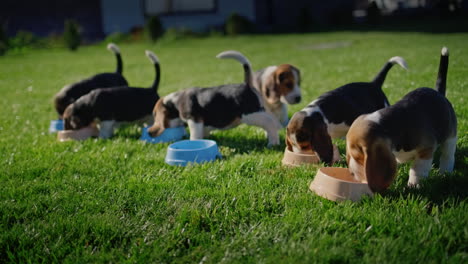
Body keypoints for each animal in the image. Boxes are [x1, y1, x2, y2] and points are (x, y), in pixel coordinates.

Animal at [148, 49, 284, 146]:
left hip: (251, 115)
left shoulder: (194, 120)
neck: (174, 103)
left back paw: (273, 143)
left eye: (154, 115)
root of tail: (246, 84)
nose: (149, 132)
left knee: (271, 123)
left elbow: (194, 135)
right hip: (258, 111)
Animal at [348, 47, 458, 192]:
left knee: (447, 156)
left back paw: (445, 173)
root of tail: (439, 92)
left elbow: (416, 170)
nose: (351, 174)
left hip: (451, 137)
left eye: (358, 157)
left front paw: (414, 185)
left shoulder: (426, 150)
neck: (388, 124)